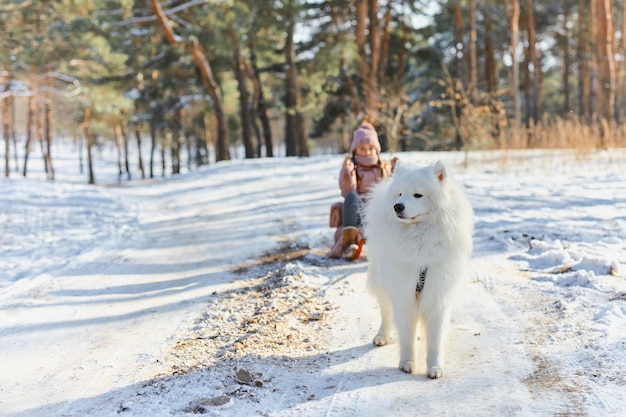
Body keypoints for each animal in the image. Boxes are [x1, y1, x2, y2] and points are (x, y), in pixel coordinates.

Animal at [364, 159, 470, 376]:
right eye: (400, 194)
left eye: (417, 195)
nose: (397, 206)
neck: (420, 240)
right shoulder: (403, 294)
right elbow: (406, 335)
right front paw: (407, 363)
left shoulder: (438, 295)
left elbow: (436, 340)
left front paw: (435, 366)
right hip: (383, 285)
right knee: (386, 313)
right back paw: (382, 336)